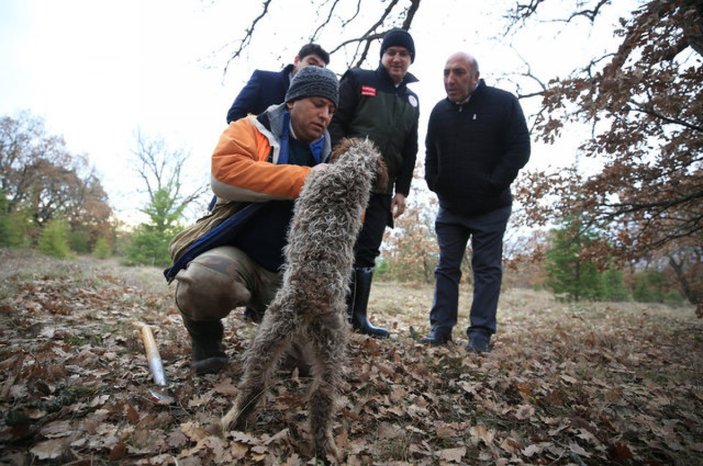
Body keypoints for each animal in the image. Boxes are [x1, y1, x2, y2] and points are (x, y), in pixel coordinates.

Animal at [223, 137, 388, 460]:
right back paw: (325, 446)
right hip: (326, 351)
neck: (349, 174)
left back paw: (230, 419)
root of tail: (312, 301)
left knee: (253, 383)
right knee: (320, 397)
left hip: (271, 331)